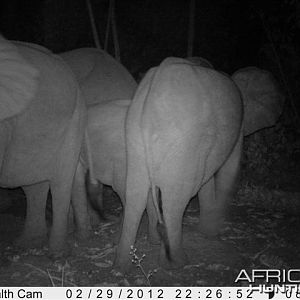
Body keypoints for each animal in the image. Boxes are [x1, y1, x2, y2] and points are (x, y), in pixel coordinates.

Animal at [114, 56, 284, 272]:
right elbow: (228, 169)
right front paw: (212, 232)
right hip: (183, 142)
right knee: (177, 198)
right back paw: (176, 262)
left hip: (134, 134)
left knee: (135, 194)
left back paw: (123, 265)